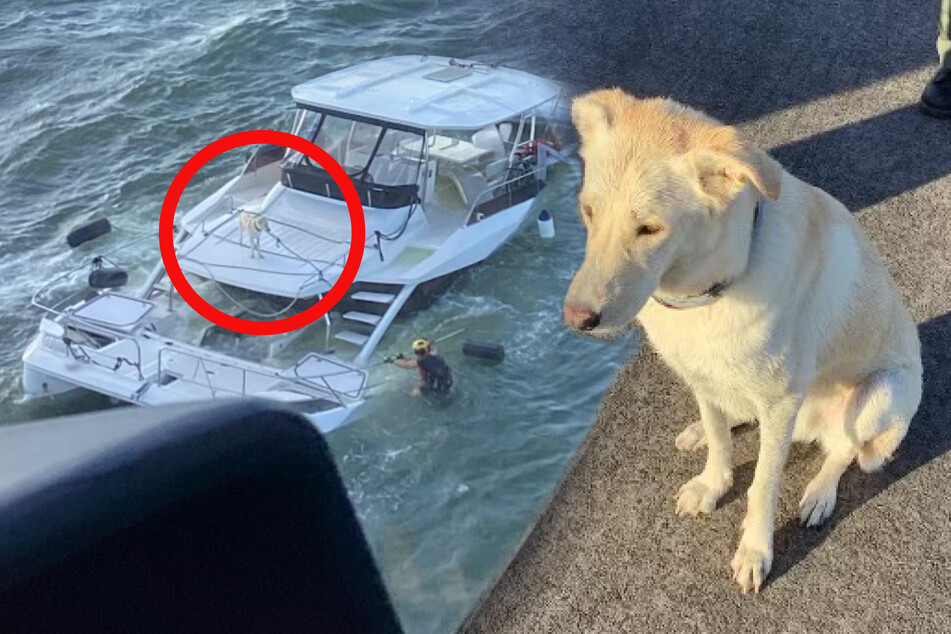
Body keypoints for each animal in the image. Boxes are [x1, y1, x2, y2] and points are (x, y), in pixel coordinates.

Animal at [564, 89, 924, 592]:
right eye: (588, 211)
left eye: (649, 228)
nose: (576, 320)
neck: (708, 291)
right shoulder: (701, 375)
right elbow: (719, 440)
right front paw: (712, 482)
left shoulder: (779, 404)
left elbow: (762, 487)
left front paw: (755, 550)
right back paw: (704, 428)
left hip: (882, 391)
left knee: (846, 450)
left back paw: (820, 492)